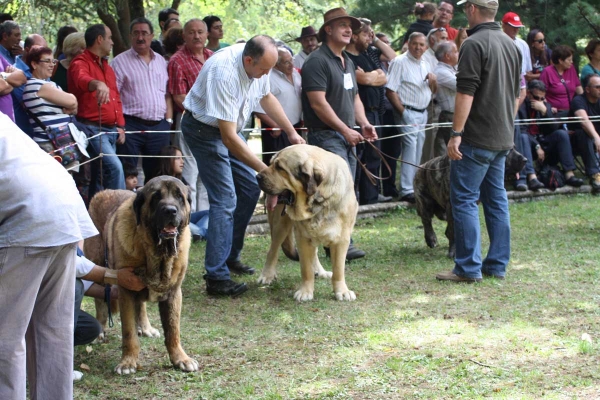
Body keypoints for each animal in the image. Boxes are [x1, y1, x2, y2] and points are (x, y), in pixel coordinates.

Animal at [84, 177, 198, 374]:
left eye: (179, 196)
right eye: (156, 197)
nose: (170, 210)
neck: (158, 254)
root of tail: (103, 191)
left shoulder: (174, 293)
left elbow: (173, 331)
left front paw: (181, 359)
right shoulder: (126, 291)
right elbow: (128, 332)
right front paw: (128, 362)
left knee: (141, 305)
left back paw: (145, 328)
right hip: (98, 263)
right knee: (101, 303)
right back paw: (100, 330)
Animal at [255, 145, 358, 302]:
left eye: (280, 168)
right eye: (271, 163)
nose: (257, 176)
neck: (318, 202)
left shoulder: (341, 239)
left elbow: (338, 269)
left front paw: (342, 291)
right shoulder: (302, 237)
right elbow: (306, 268)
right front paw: (305, 291)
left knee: (314, 254)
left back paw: (321, 272)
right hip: (280, 226)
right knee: (273, 250)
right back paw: (267, 275)